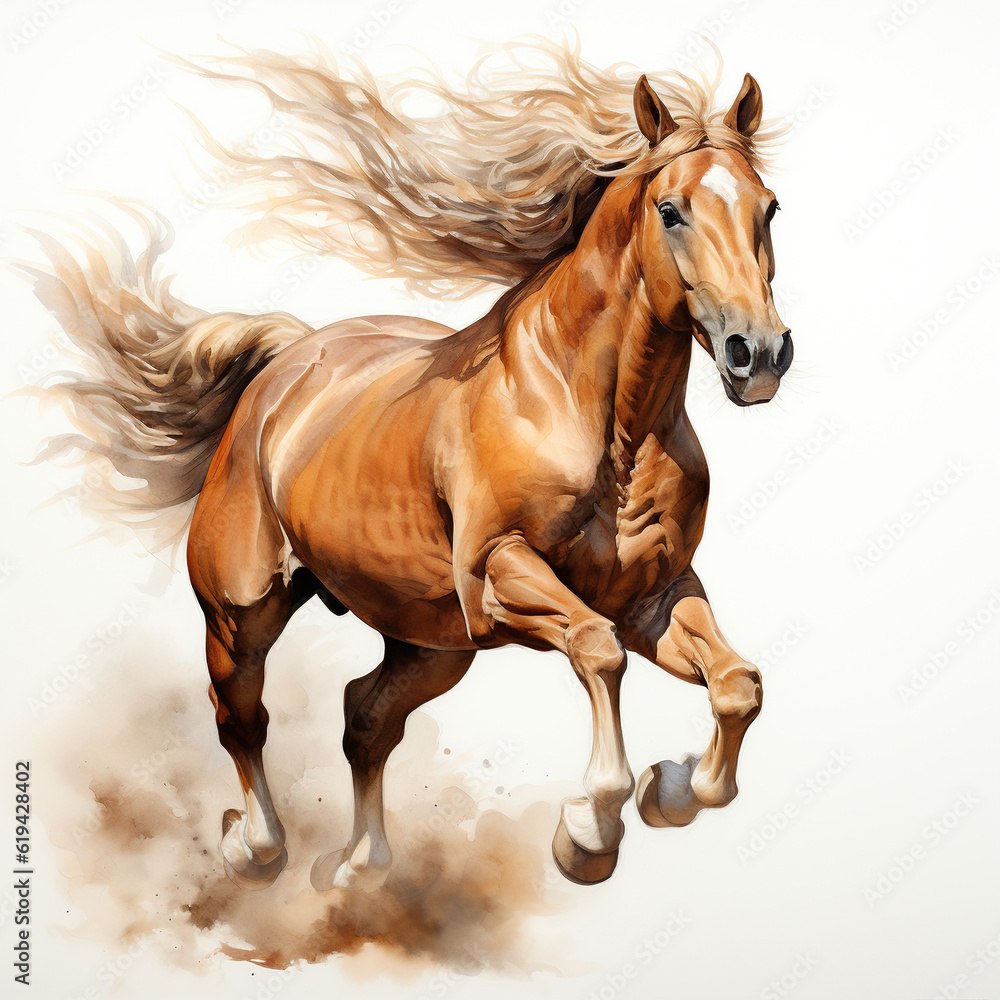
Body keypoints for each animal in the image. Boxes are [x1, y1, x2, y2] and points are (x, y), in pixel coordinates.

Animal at [26, 47, 793, 890]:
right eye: (672, 210)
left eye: (769, 209)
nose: (759, 353)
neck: (600, 423)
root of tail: (285, 365)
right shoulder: (500, 576)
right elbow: (599, 649)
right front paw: (590, 830)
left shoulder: (656, 595)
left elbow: (737, 685)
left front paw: (672, 788)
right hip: (241, 614)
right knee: (242, 720)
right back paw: (254, 847)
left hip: (430, 643)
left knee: (365, 716)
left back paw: (362, 864)